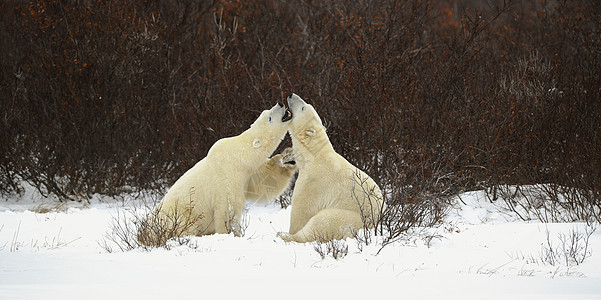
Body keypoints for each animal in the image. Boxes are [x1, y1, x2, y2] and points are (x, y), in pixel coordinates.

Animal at [137, 102, 296, 245]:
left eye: (266, 111)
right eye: (269, 117)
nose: (280, 103)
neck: (239, 156)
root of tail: (143, 234)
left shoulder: (248, 174)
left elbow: (265, 183)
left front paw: (288, 158)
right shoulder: (227, 176)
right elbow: (227, 208)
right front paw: (231, 235)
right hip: (179, 215)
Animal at [278, 94, 384, 244]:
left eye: (303, 107)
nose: (291, 95)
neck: (315, 155)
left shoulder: (314, 182)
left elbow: (302, 209)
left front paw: (291, 230)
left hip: (348, 219)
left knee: (321, 222)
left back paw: (283, 235)